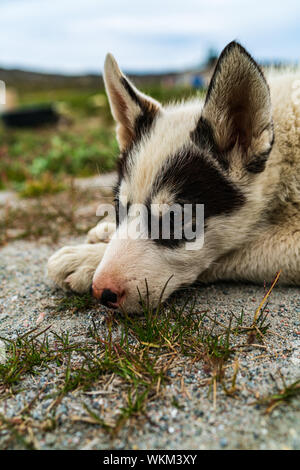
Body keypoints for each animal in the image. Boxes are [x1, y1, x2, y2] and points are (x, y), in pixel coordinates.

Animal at [47, 41, 300, 312]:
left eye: (175, 217)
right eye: (117, 205)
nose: (100, 291)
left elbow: (232, 252)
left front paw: (86, 258)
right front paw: (104, 233)